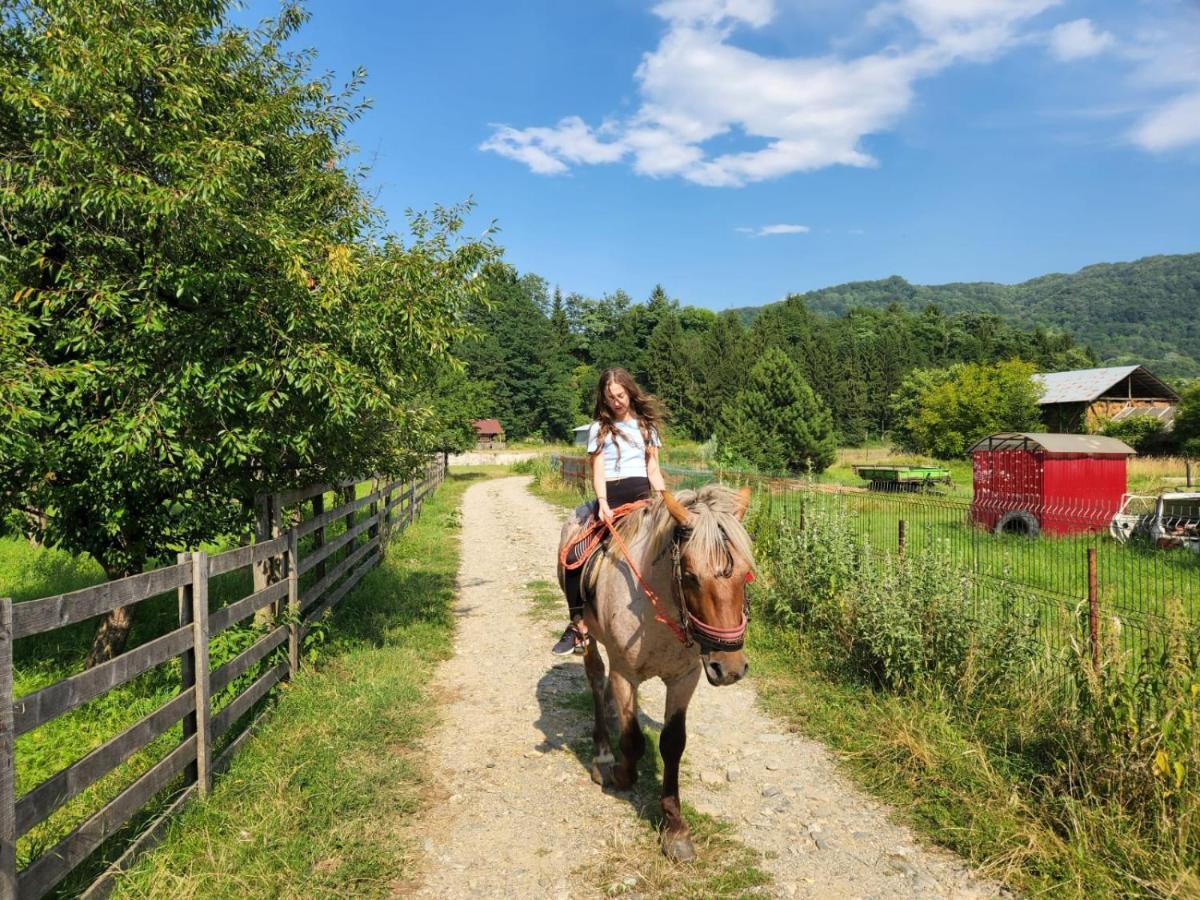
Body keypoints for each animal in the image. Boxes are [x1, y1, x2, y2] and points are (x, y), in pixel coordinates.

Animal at [556, 482, 753, 864]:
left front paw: (675, 828)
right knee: (596, 680)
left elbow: (673, 743)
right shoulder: (624, 674)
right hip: (588, 638)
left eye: (745, 574)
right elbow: (632, 740)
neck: (656, 607)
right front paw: (621, 773)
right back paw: (603, 753)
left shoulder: (684, 679)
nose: (729, 668)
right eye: (690, 576)